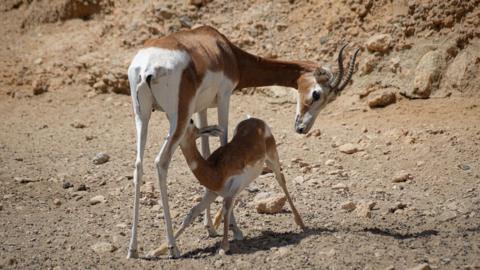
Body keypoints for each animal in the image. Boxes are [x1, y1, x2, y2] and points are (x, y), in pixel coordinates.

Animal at [152, 117, 306, 255]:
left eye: (190, 121)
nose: (172, 133)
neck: (214, 170)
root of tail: (256, 120)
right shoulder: (212, 193)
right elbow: (192, 213)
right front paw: (158, 251)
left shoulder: (231, 189)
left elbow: (226, 209)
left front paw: (223, 246)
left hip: (273, 160)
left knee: (281, 181)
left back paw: (301, 223)